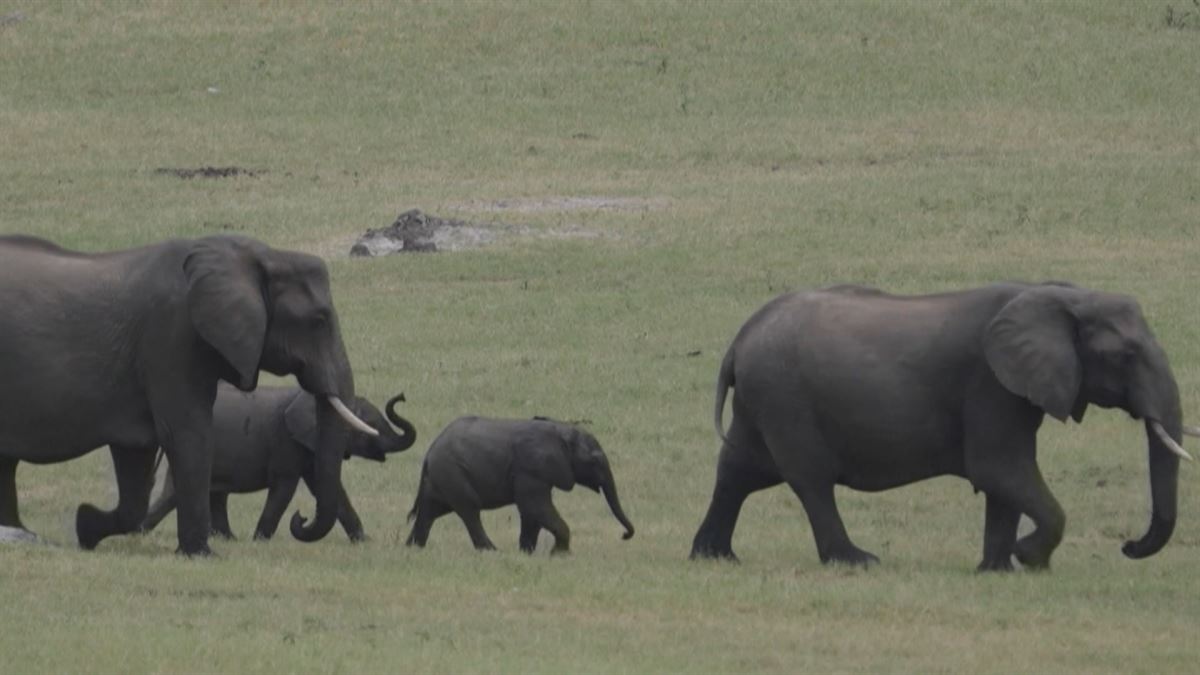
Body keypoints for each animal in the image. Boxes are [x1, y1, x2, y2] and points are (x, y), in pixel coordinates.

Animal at [0, 234, 379, 554]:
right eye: (319, 320)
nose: (301, 518)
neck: (254, 254)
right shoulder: (172, 336)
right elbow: (187, 433)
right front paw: (201, 554)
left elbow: (136, 459)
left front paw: (86, 525)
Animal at [141, 384, 417, 540]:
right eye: (367, 426)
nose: (402, 396)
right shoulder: (286, 442)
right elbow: (285, 489)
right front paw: (260, 541)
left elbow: (328, 488)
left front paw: (364, 541)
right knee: (176, 496)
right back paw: (142, 530)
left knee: (213, 495)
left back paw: (228, 539)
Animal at [405, 415, 638, 552]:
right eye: (594, 461)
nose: (624, 535)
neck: (561, 430)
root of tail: (429, 454)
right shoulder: (531, 470)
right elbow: (534, 506)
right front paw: (559, 554)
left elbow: (531, 513)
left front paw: (527, 552)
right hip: (453, 475)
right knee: (469, 511)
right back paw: (492, 551)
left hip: (442, 480)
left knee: (430, 511)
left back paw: (413, 549)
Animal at [691, 281, 1195, 569]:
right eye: (1125, 355)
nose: (1128, 547)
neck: (1061, 295)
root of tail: (739, 339)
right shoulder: (990, 384)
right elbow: (999, 468)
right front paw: (1028, 557)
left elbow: (1003, 482)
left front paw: (997, 569)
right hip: (785, 398)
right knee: (811, 480)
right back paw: (858, 562)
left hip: (762, 401)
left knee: (737, 471)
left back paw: (716, 558)